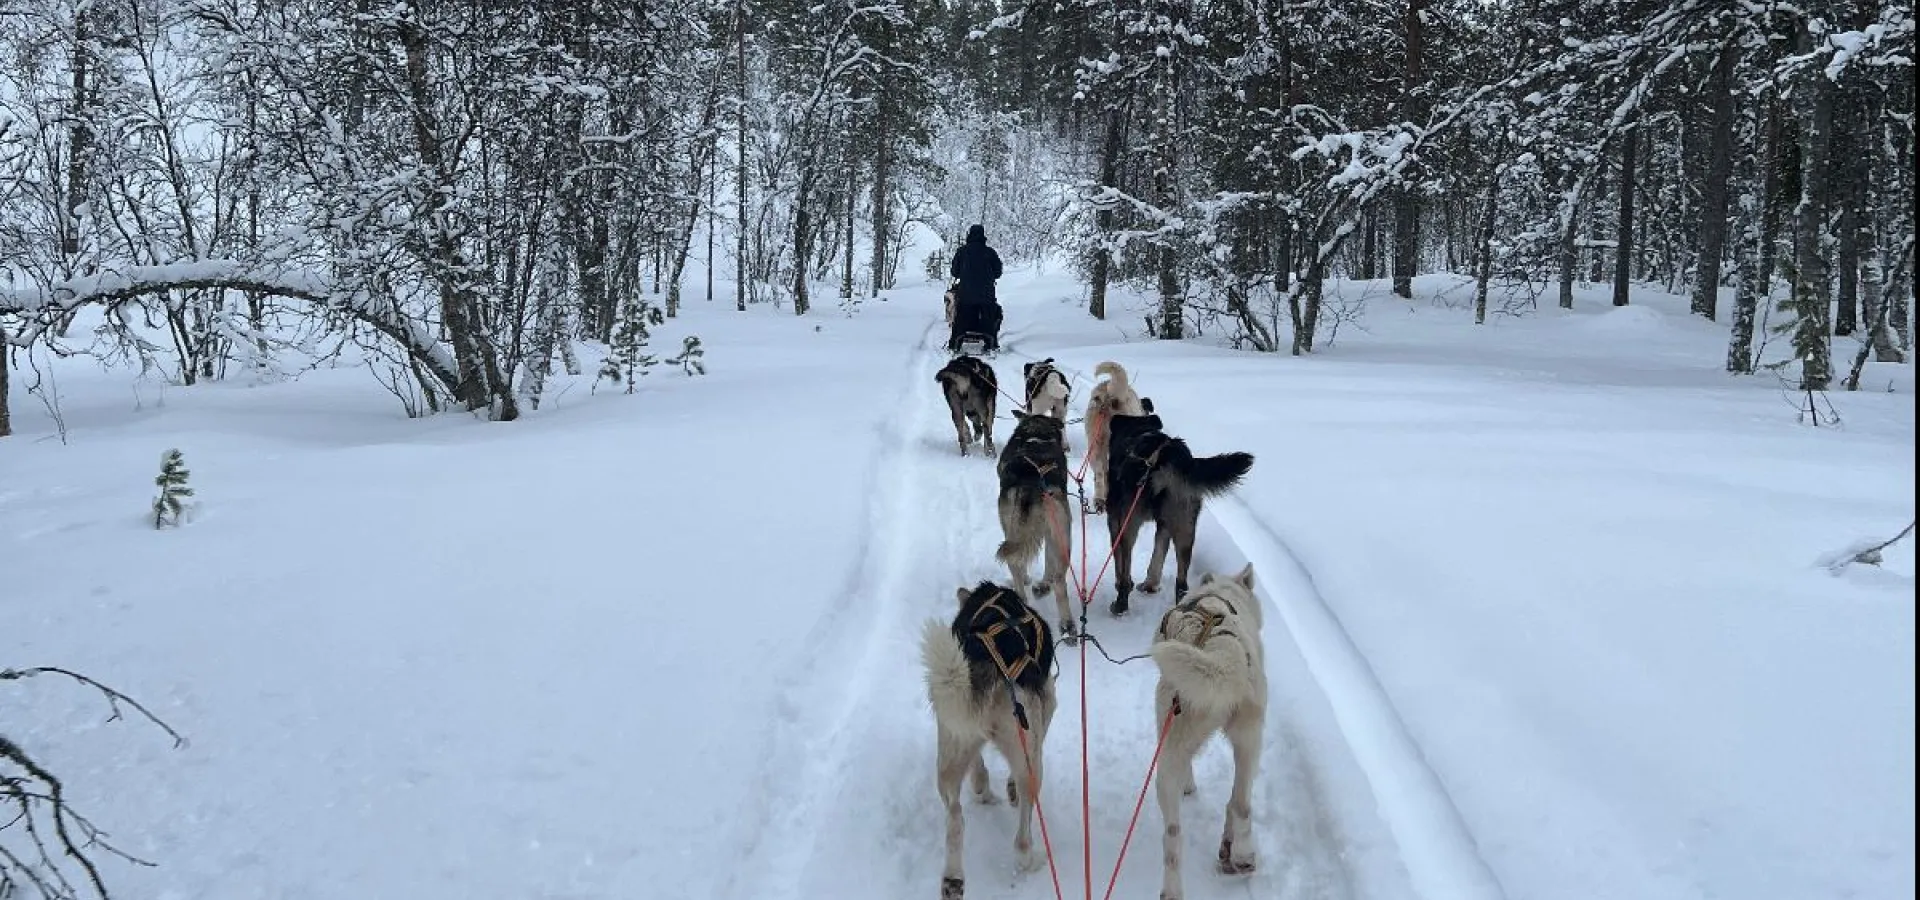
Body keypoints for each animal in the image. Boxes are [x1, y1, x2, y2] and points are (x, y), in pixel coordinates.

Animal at [917, 579, 1059, 894]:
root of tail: (988, 663)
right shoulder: (1045, 709)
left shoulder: (967, 730)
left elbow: (978, 766)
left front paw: (981, 786)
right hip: (1030, 762)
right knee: (1021, 842)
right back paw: (1033, 858)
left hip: (950, 751)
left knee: (955, 817)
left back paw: (953, 879)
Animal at [998, 410, 1075, 633]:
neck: (1036, 434)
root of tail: (1032, 486)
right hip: (1062, 537)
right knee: (1058, 578)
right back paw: (1065, 621)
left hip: (1016, 531)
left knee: (1015, 564)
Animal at [1105, 410, 1251, 614]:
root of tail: (1166, 456)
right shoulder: (1164, 525)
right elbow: (1157, 556)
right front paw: (1150, 586)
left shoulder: (1115, 521)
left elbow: (1119, 564)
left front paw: (1124, 585)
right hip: (1185, 524)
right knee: (1182, 582)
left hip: (1130, 523)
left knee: (1126, 571)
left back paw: (1120, 604)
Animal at [1144, 564, 1267, 894]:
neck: (1220, 594)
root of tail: (1220, 650)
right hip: (1249, 739)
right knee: (1240, 804)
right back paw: (1242, 855)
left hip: (1173, 747)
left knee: (1174, 834)